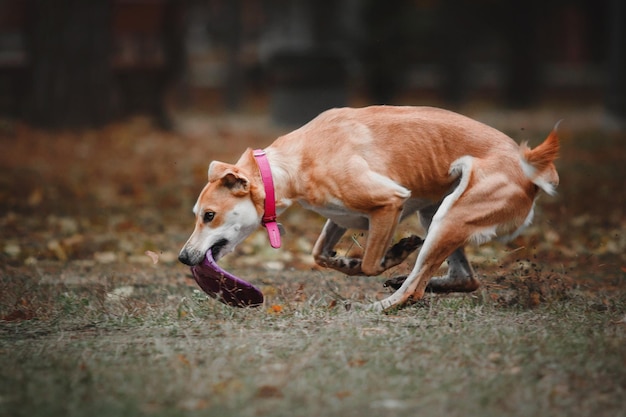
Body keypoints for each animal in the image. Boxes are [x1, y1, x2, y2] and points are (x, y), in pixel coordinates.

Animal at [178, 105, 560, 310]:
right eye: (198, 215)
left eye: (209, 215)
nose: (183, 257)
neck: (293, 162)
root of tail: (530, 164)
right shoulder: (342, 217)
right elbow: (321, 255)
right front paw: (345, 261)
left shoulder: (389, 203)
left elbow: (371, 264)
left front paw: (395, 253)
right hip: (437, 213)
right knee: (465, 279)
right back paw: (420, 282)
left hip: (449, 217)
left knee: (415, 288)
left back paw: (383, 303)